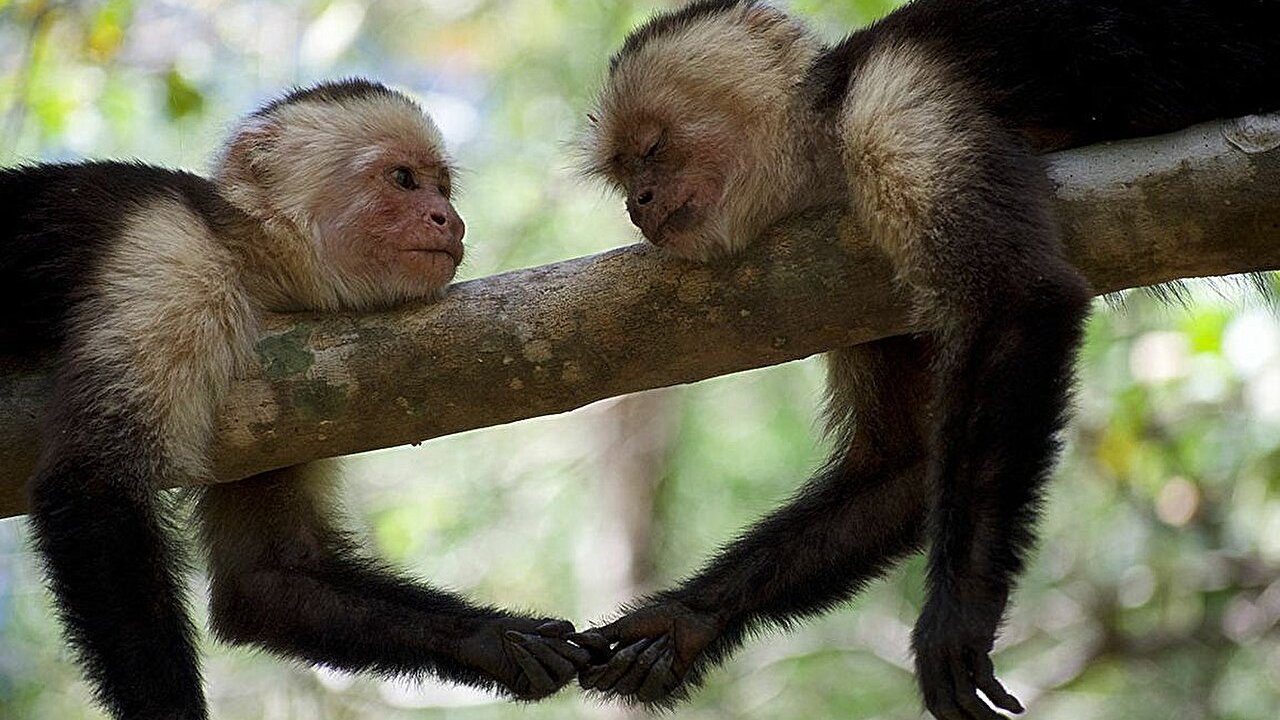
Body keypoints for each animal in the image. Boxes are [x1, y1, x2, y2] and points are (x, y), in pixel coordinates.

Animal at [0, 79, 588, 717]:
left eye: (443, 187)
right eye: (403, 179)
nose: (449, 218)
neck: (248, 260)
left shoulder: (287, 398)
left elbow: (267, 580)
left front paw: (496, 640)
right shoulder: (172, 264)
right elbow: (91, 483)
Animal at [576, 1, 1280, 717]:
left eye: (652, 150)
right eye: (624, 174)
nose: (637, 204)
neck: (824, 144)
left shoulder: (891, 109)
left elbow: (1015, 303)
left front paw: (957, 613)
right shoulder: (847, 287)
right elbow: (907, 463)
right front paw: (689, 618)